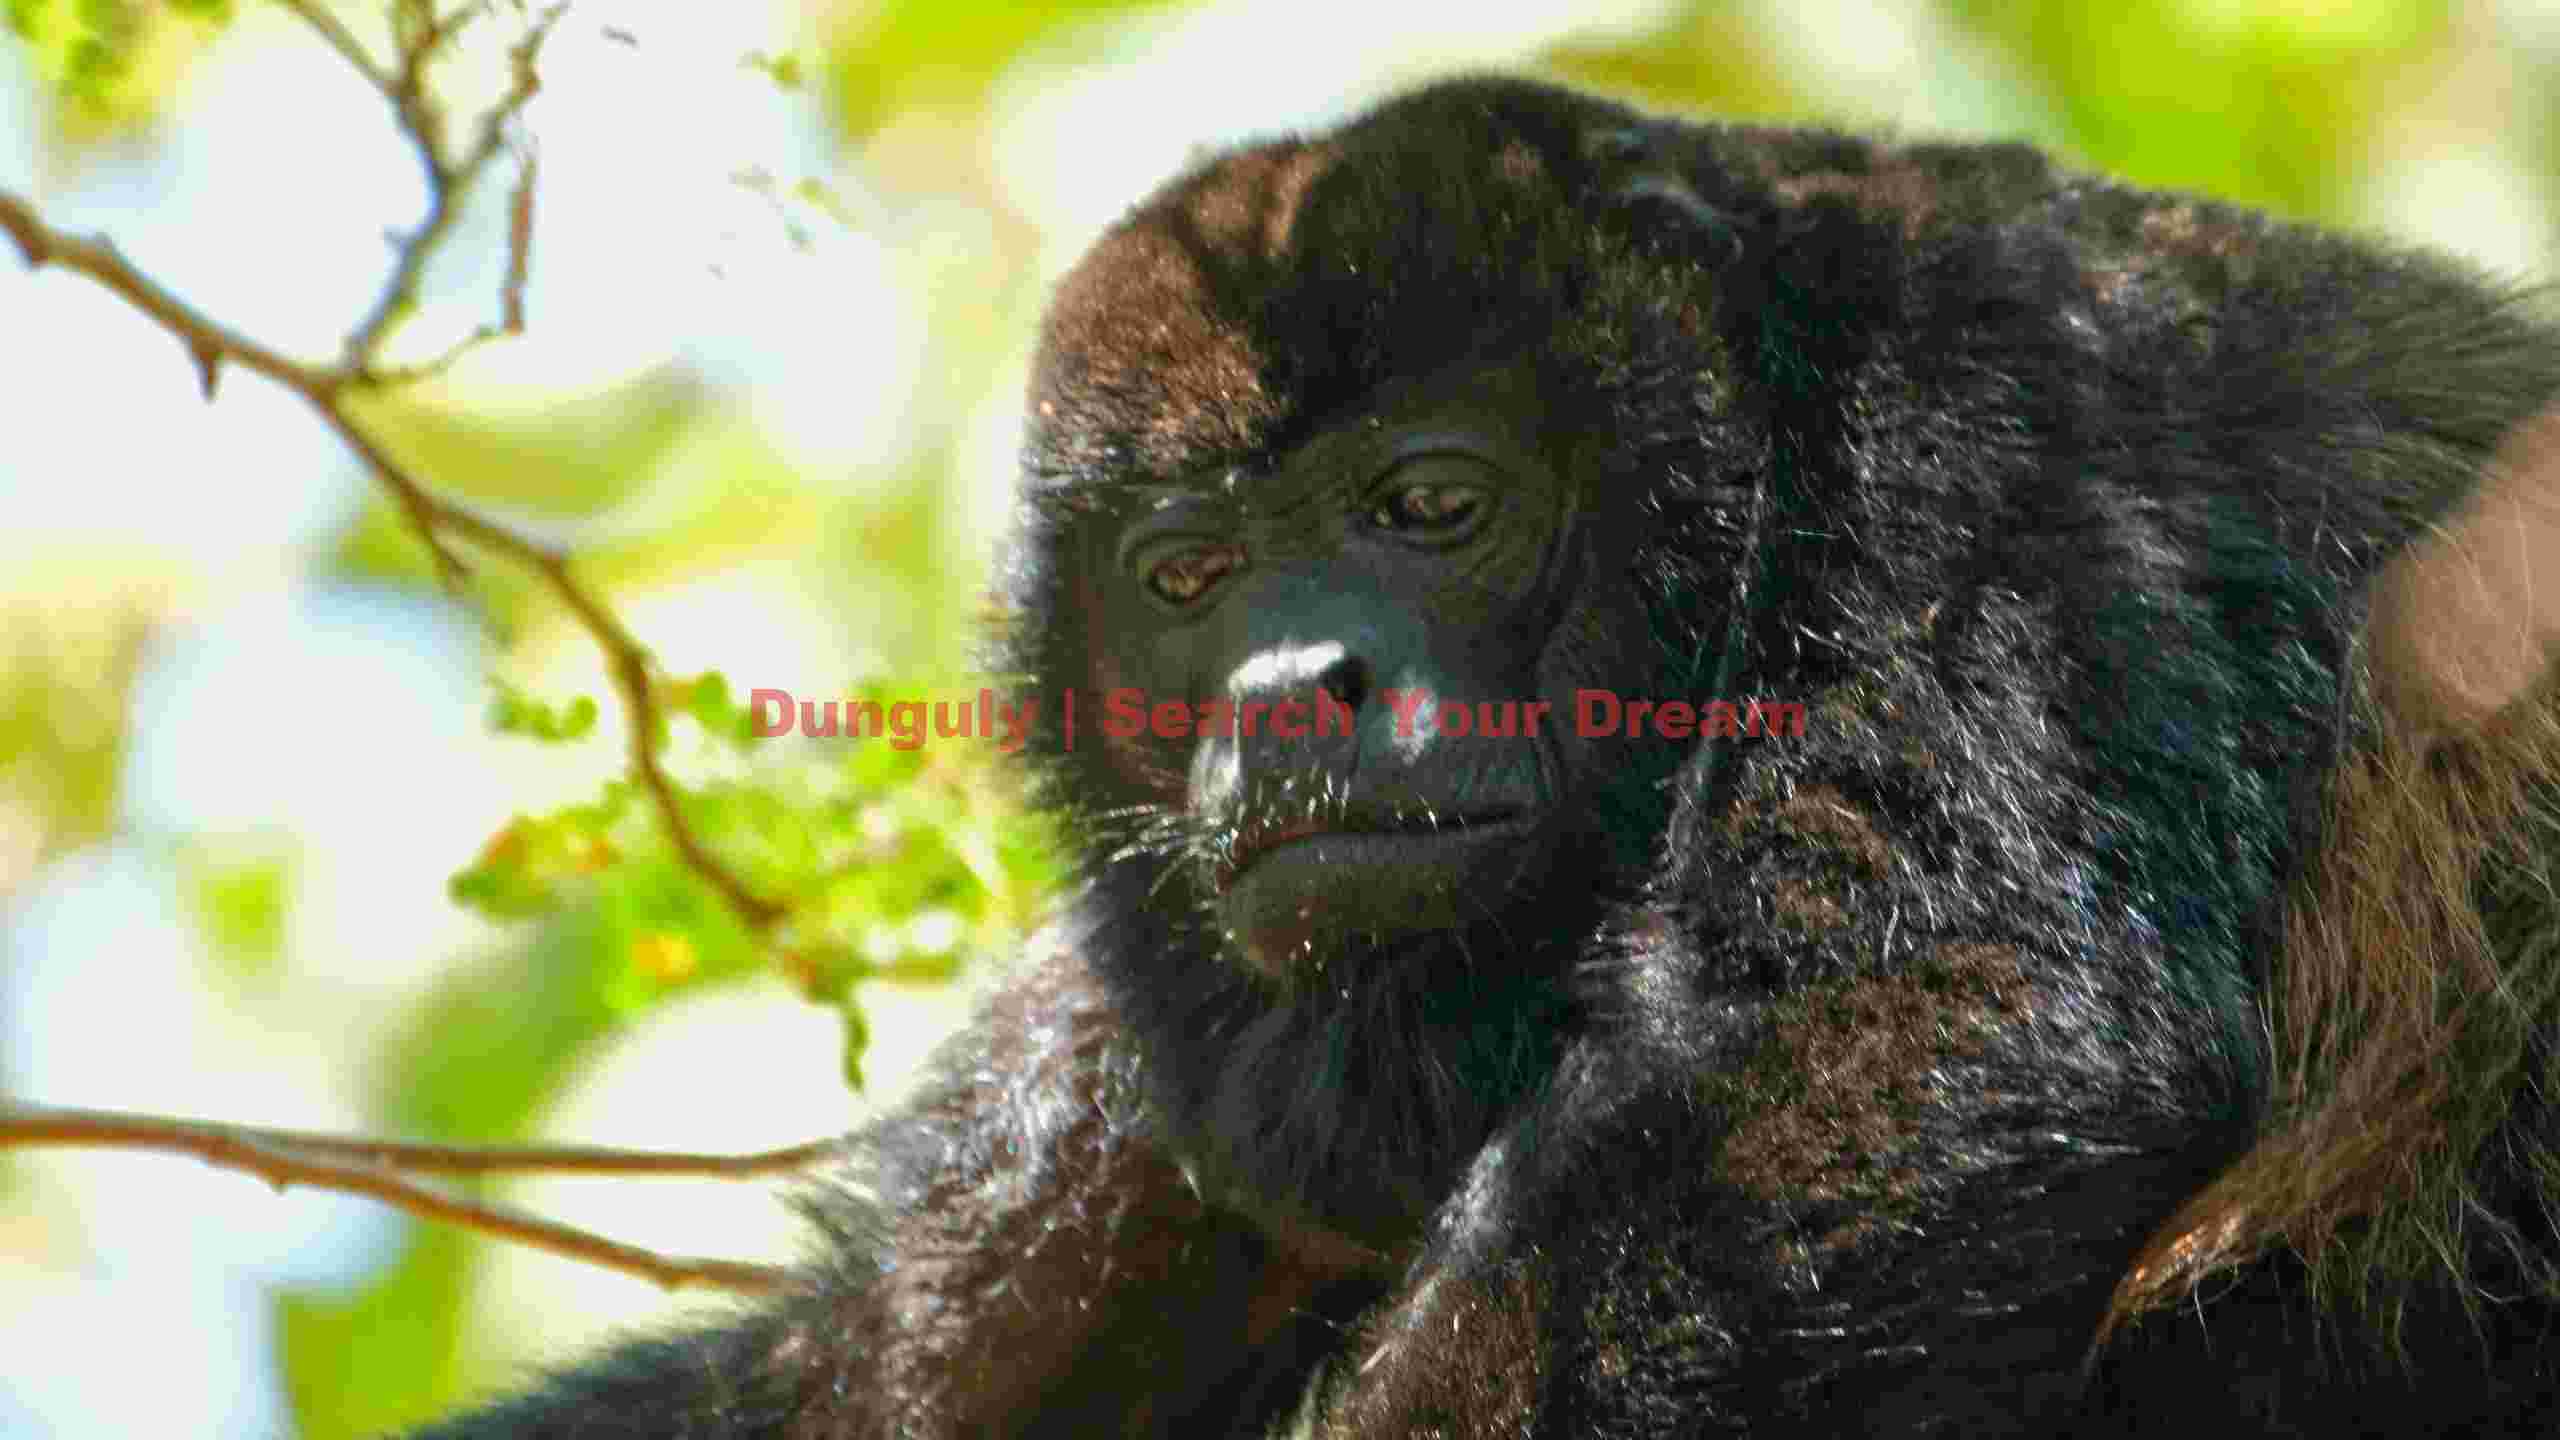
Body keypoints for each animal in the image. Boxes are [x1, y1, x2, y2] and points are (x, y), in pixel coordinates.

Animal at [406, 75, 2560, 1436]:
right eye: (1186, 574)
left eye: (1432, 505)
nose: (1293, 684)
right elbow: (877, 1376)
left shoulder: (1988, 436)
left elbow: (1948, 1019)